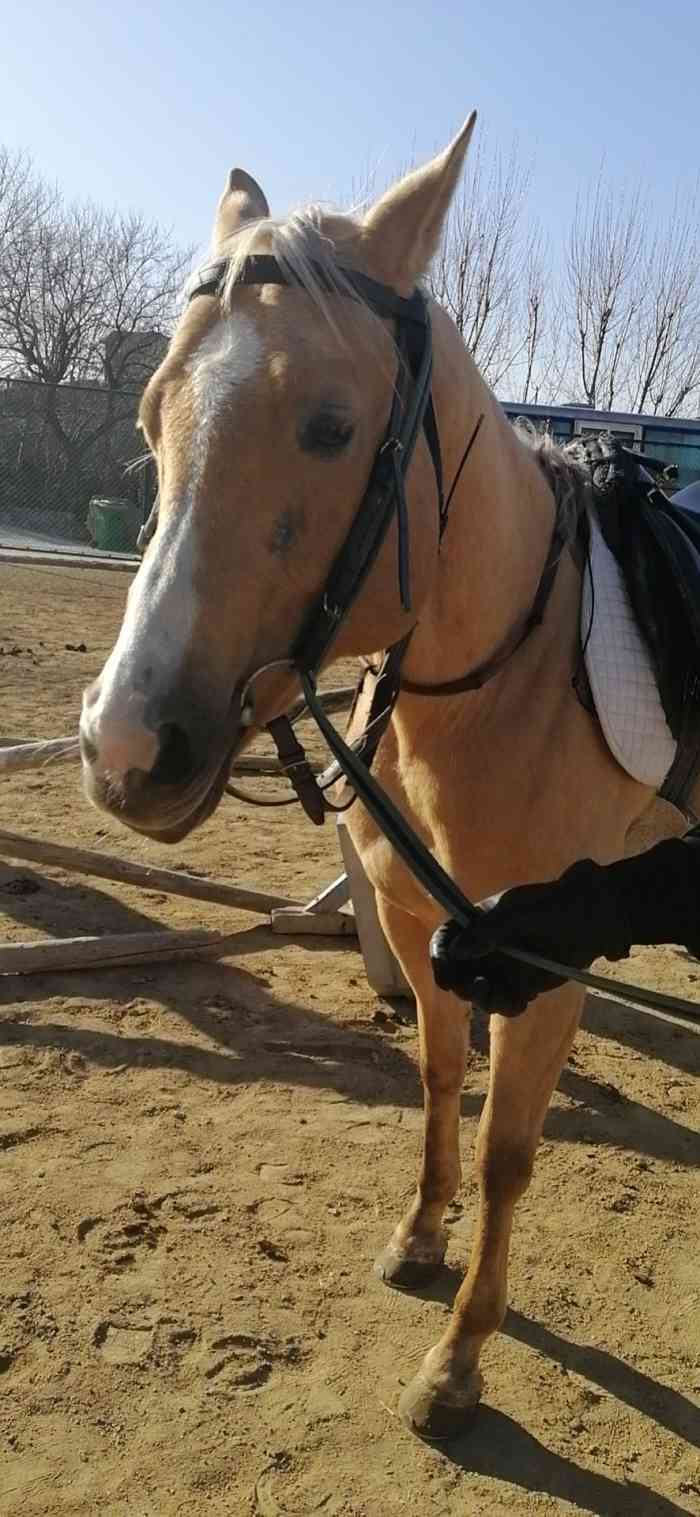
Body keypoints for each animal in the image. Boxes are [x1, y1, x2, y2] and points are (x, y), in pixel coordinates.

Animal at [79, 115, 653, 1441]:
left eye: (333, 425)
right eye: (152, 413)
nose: (124, 748)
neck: (511, 676)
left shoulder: (545, 966)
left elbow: (507, 1151)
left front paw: (459, 1359)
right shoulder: (420, 921)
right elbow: (440, 1077)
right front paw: (418, 1237)